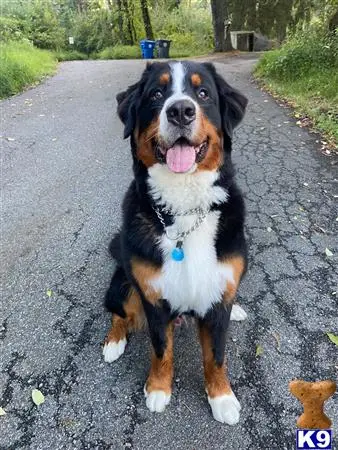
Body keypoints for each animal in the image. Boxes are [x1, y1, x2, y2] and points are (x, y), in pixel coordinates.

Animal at [103, 60, 248, 426]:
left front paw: (221, 397)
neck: (184, 206)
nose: (181, 110)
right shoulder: (153, 298)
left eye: (203, 93)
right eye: (156, 93)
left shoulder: (218, 299)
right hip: (124, 284)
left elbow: (216, 355)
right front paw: (158, 389)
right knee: (118, 312)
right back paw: (113, 342)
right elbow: (161, 349)